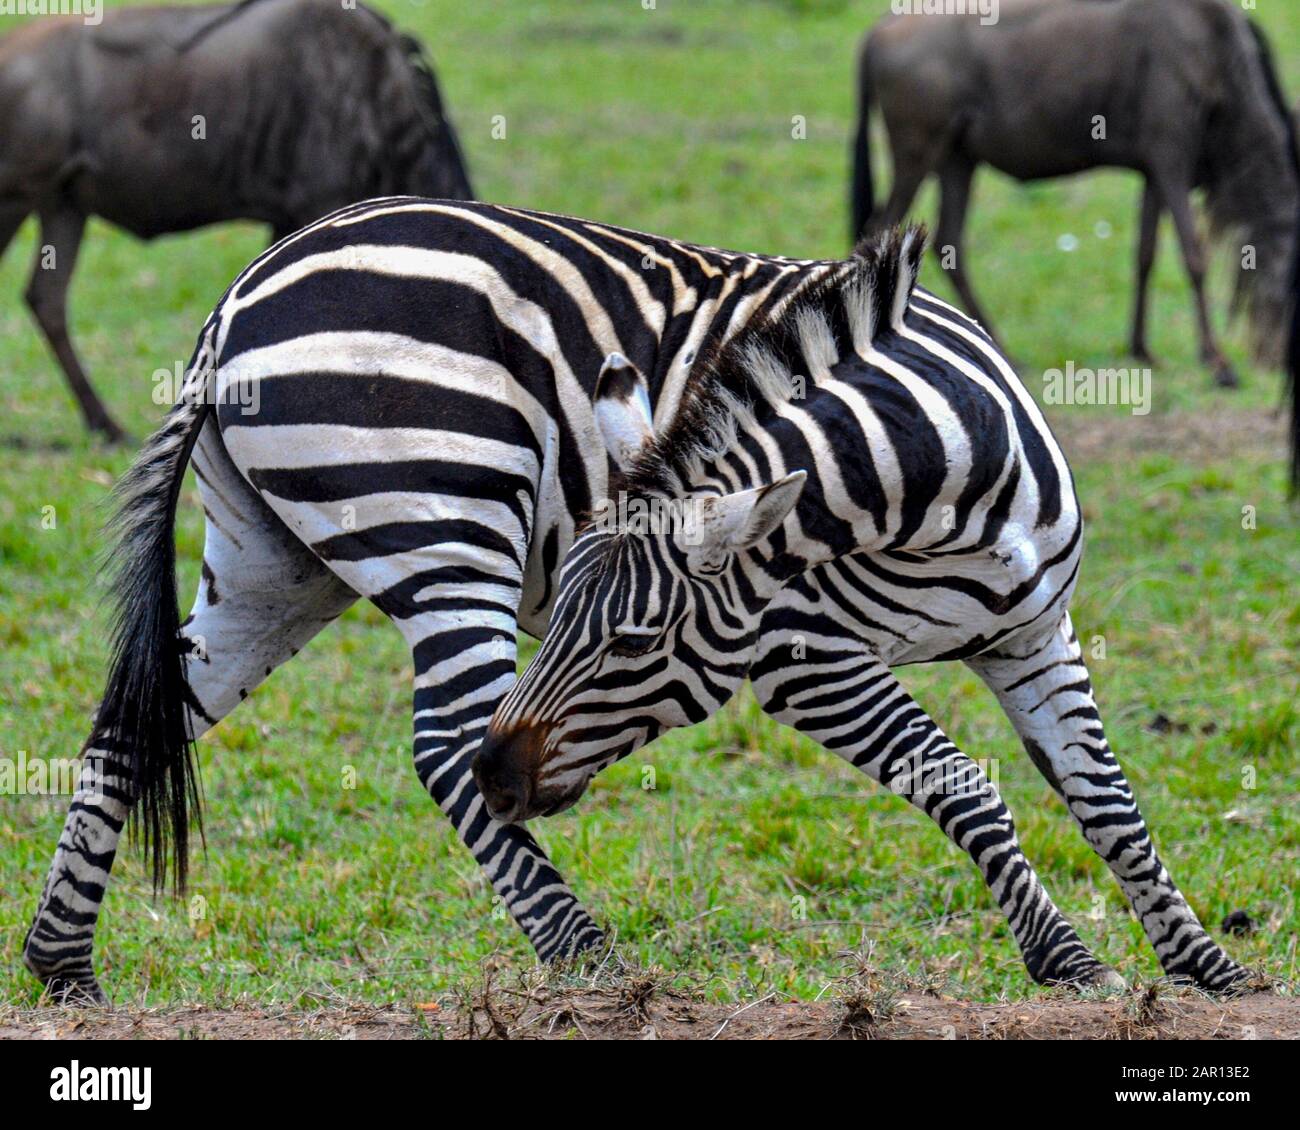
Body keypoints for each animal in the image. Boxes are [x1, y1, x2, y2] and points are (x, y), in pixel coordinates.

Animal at [23, 197, 858, 1003]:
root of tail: (232, 304)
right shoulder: (798, 625)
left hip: (270, 569)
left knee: (136, 723)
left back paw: (63, 966)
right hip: (449, 522)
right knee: (455, 740)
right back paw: (591, 964)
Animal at [475, 226, 1249, 992]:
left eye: (635, 643)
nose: (497, 780)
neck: (956, 501)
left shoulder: (1035, 636)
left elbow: (1109, 802)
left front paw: (1208, 965)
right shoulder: (806, 660)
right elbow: (964, 787)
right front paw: (1067, 959)